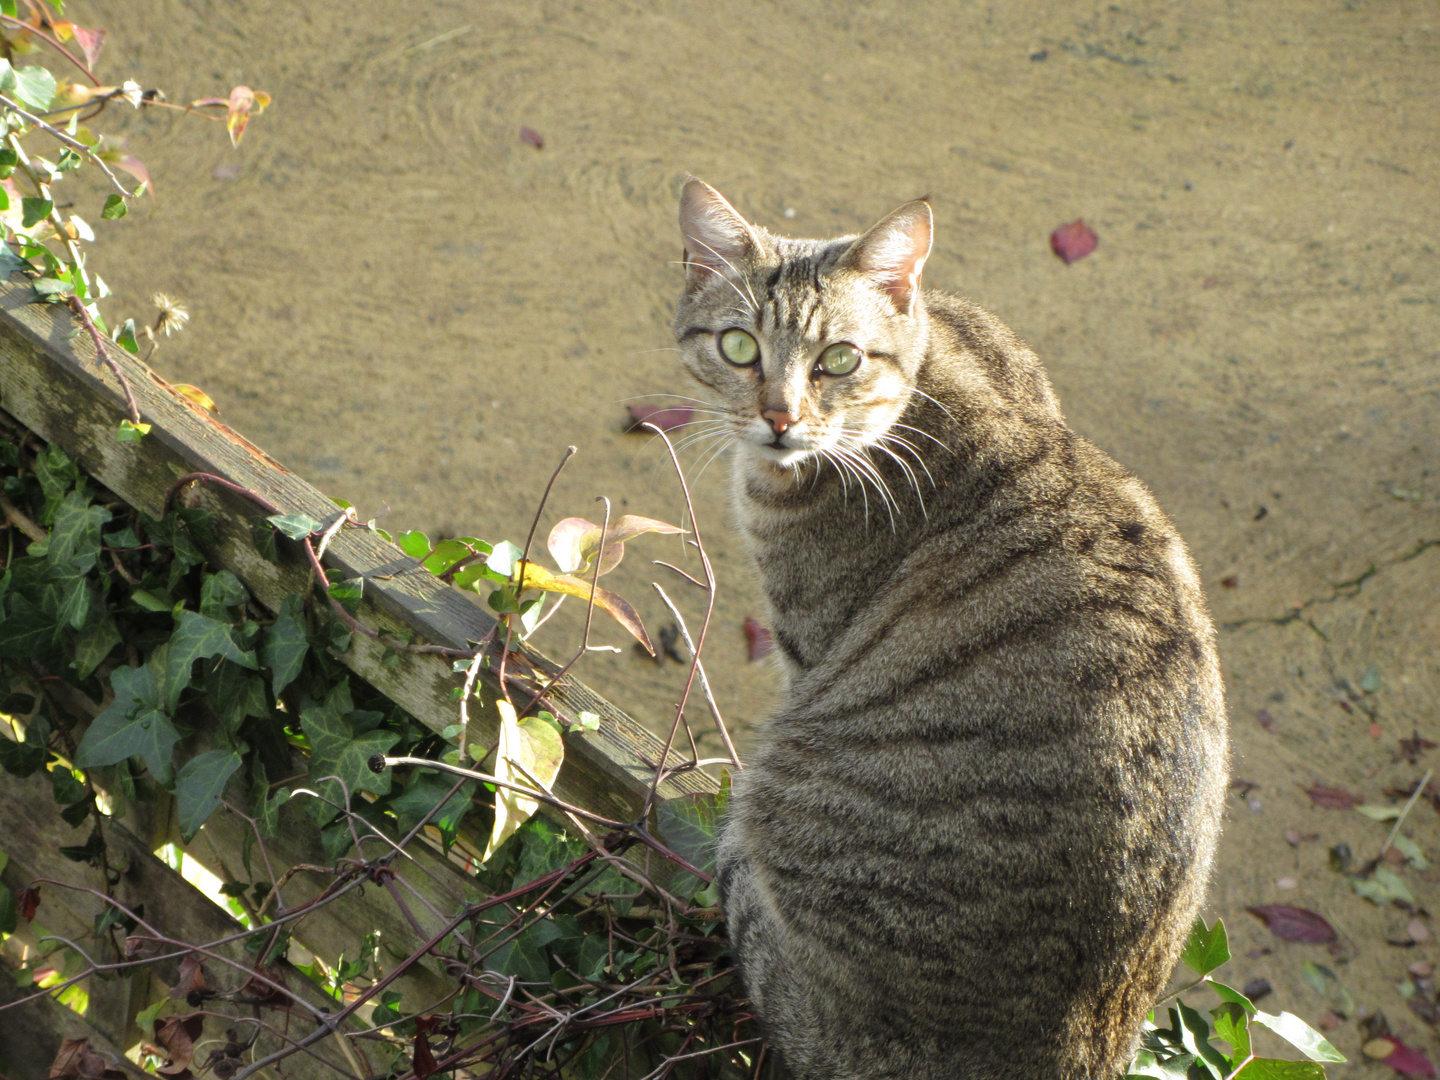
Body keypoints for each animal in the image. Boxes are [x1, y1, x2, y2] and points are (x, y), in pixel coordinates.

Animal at [671, 182, 1226, 1077]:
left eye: (838, 360)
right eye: (738, 345)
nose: (779, 419)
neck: (928, 370)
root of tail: (1064, 1048)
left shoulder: (806, 647)